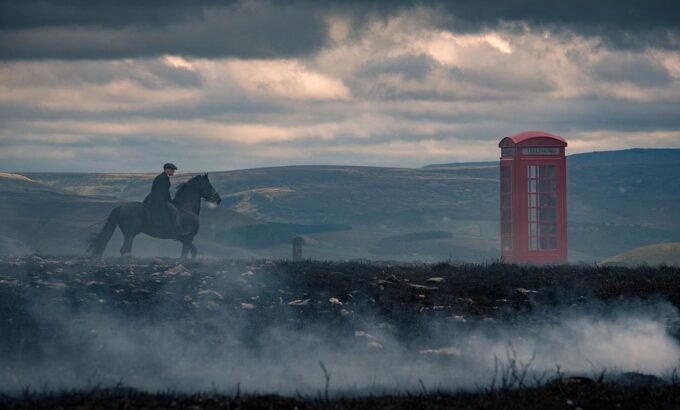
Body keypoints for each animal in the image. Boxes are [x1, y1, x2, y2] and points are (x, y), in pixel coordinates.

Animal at [87, 174, 220, 258]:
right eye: (209, 186)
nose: (219, 199)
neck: (187, 208)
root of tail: (120, 208)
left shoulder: (185, 240)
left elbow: (194, 252)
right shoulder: (188, 238)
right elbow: (185, 255)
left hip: (129, 234)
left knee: (126, 250)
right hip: (130, 233)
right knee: (124, 250)